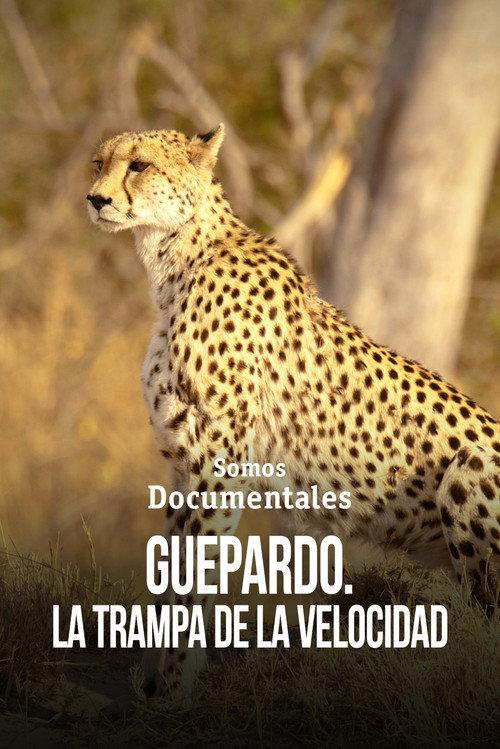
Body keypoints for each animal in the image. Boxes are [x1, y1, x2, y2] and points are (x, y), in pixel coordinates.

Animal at [87, 123, 500, 701]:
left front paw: (173, 687)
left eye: (139, 165)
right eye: (99, 163)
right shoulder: (182, 466)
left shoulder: (219, 466)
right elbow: (169, 572)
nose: (95, 199)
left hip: (472, 465)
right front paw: (150, 681)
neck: (174, 259)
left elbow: (196, 575)